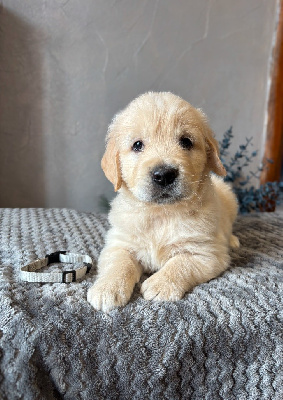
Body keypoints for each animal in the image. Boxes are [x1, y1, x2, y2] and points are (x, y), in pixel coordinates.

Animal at [87, 91, 240, 312]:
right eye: (137, 145)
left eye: (186, 141)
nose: (164, 175)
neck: (161, 213)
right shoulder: (119, 244)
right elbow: (119, 264)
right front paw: (107, 288)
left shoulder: (207, 254)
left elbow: (180, 264)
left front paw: (160, 284)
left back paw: (234, 240)